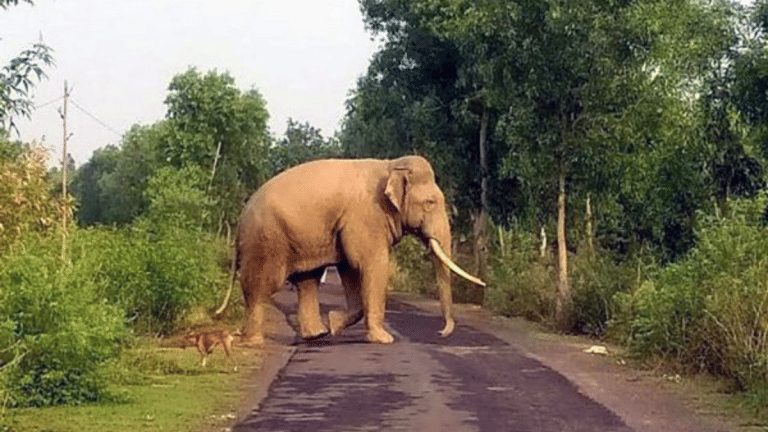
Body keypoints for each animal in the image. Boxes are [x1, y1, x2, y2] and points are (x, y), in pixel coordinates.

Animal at [229, 155, 484, 345]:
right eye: (431, 203)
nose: (440, 333)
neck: (390, 165)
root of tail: (240, 218)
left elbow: (350, 268)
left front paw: (334, 324)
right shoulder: (366, 215)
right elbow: (372, 264)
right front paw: (384, 339)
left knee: (307, 280)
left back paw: (317, 334)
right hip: (265, 240)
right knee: (263, 284)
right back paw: (253, 342)